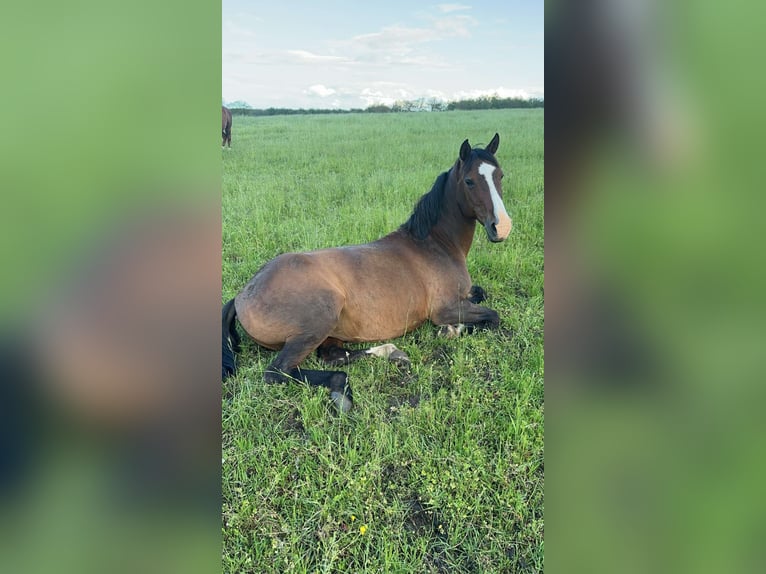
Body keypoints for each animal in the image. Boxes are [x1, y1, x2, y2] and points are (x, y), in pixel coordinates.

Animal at [222, 133, 512, 412]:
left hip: (327, 333)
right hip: (318, 322)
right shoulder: (445, 309)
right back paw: (342, 391)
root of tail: (242, 295)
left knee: (335, 356)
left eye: (500, 175)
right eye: (470, 181)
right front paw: (451, 330)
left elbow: (481, 294)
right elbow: (492, 317)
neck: (436, 244)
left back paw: (391, 353)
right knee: (278, 372)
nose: (502, 227)